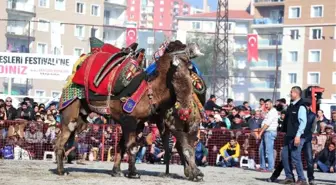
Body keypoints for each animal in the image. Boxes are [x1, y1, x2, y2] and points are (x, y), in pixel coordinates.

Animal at [55, 40, 202, 179]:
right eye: (176, 47)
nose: (194, 47)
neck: (151, 92)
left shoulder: (138, 122)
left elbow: (124, 146)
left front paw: (117, 171)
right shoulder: (130, 119)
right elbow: (132, 147)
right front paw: (133, 173)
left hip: (83, 113)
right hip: (70, 109)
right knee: (62, 137)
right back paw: (62, 171)